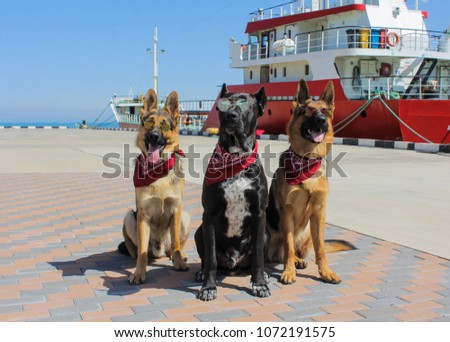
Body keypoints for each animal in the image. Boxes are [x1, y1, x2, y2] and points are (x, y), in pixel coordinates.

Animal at [118, 89, 190, 286]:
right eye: (150, 123)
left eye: (164, 126)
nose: (154, 136)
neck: (158, 172)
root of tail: (159, 249)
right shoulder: (143, 215)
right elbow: (142, 251)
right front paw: (139, 272)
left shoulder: (176, 209)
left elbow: (176, 243)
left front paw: (179, 262)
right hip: (129, 217)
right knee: (138, 252)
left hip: (185, 216)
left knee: (173, 247)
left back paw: (178, 256)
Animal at [194, 84, 270, 300]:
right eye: (223, 105)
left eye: (245, 104)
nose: (230, 115)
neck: (235, 158)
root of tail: (233, 265)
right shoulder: (209, 215)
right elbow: (211, 258)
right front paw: (208, 287)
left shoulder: (259, 213)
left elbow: (258, 258)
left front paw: (259, 284)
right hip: (199, 231)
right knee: (207, 259)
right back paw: (201, 272)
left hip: (266, 234)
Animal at [266, 79, 354, 284]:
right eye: (309, 111)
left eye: (325, 111)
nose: (321, 120)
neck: (307, 160)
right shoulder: (287, 211)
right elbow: (288, 246)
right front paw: (288, 271)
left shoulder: (319, 213)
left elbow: (320, 247)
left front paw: (326, 272)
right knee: (280, 252)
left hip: (306, 231)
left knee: (298, 251)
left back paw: (299, 261)